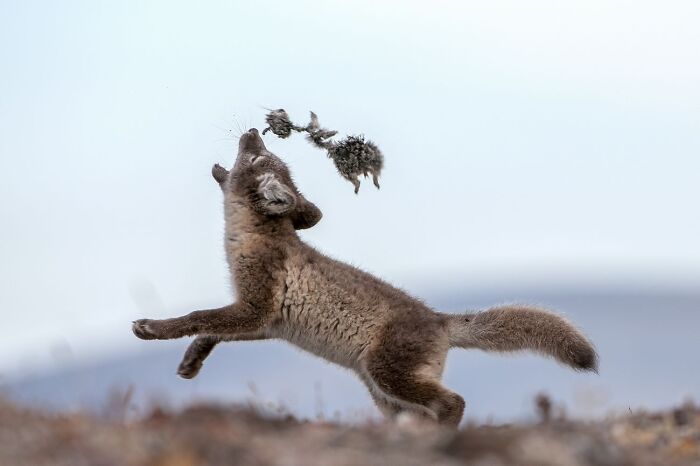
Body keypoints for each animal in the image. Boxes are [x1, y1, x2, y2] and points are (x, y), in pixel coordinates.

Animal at [132, 128, 598, 426]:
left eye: (256, 156)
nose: (252, 129)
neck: (252, 236)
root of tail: (440, 320)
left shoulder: (255, 307)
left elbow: (196, 316)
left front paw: (152, 328)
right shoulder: (264, 323)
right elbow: (212, 331)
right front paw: (192, 361)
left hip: (387, 375)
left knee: (454, 403)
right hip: (386, 395)